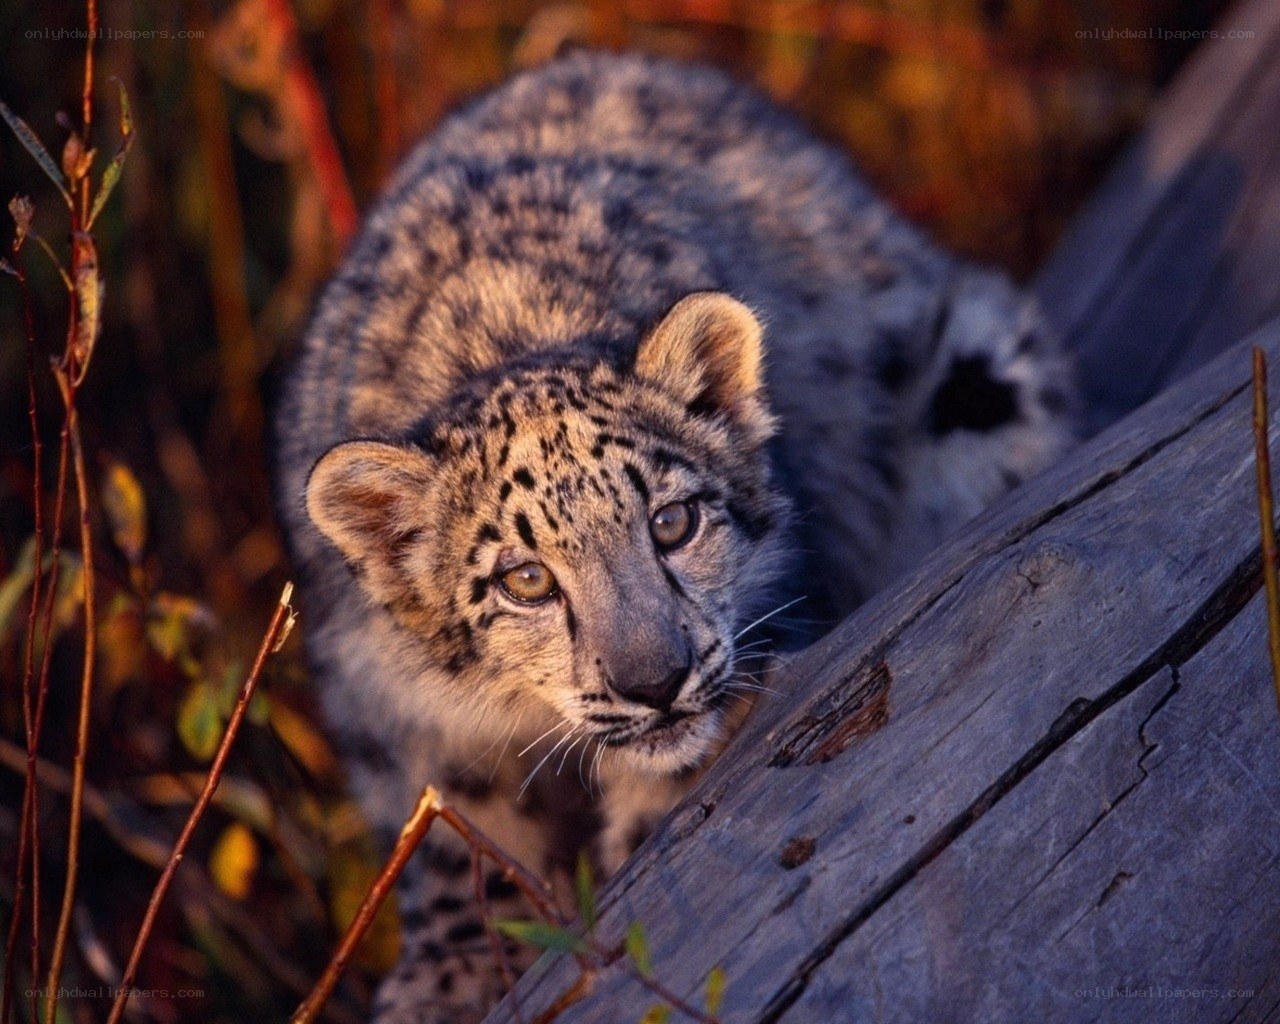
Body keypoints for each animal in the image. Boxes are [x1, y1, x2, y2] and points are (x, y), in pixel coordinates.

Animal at [274, 49, 1075, 1024]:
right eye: (525, 579)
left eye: (672, 521)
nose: (654, 683)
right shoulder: (389, 711)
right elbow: (461, 822)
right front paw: (445, 978)